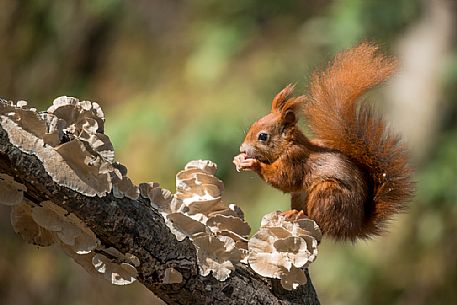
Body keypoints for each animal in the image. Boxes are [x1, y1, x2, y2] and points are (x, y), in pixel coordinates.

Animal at [233, 42, 416, 240]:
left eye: (263, 136)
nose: (242, 149)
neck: (289, 145)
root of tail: (352, 227)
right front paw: (239, 160)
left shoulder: (296, 160)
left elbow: (283, 179)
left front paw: (253, 164)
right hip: (302, 196)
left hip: (327, 194)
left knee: (321, 223)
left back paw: (298, 214)